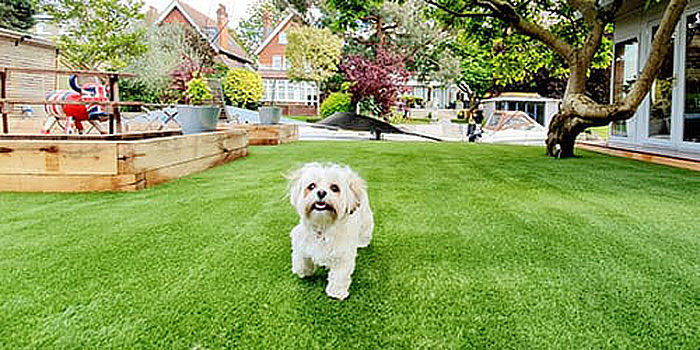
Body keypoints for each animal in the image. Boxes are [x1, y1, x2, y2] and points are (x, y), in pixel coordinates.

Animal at [286, 163, 372, 300]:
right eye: (311, 186)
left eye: (334, 188)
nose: (321, 192)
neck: (323, 226)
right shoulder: (300, 240)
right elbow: (300, 259)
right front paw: (303, 271)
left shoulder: (342, 255)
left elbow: (339, 275)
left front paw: (336, 292)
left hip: (366, 220)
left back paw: (363, 243)